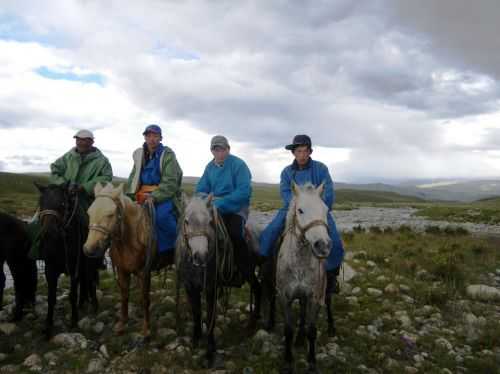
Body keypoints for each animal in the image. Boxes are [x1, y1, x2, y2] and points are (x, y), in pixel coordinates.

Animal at [34, 183, 100, 338]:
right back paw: (82, 303)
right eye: (41, 203)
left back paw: (94, 305)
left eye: (62, 204)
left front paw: (74, 322)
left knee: (92, 280)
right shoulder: (50, 269)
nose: (49, 232)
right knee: (85, 282)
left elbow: (72, 295)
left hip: (91, 263)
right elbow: (51, 297)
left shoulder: (74, 267)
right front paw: (48, 326)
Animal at [81, 183, 169, 338]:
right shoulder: (122, 271)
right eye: (89, 212)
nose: (89, 248)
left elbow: (144, 299)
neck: (130, 239)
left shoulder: (144, 273)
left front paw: (146, 329)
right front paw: (122, 324)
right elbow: (124, 296)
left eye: (110, 214)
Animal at [176, 196, 262, 368]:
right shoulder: (190, 286)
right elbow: (196, 312)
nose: (200, 256)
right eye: (187, 221)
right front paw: (196, 339)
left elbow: (210, 317)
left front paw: (210, 352)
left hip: (250, 270)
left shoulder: (211, 288)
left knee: (258, 289)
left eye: (210, 221)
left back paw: (251, 325)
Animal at [278, 182, 332, 374]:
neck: (300, 262)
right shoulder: (284, 297)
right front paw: (288, 361)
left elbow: (312, 330)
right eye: (300, 210)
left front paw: (312, 363)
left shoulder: (313, 298)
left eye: (326, 209)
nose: (323, 245)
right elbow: (288, 330)